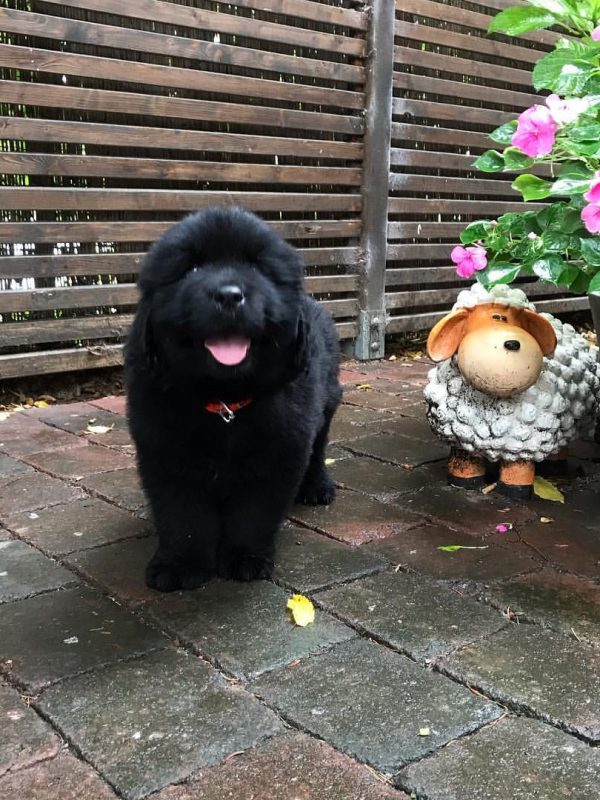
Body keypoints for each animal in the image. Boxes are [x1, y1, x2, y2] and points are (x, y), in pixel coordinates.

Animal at [126, 206, 342, 592]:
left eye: (259, 268)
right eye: (191, 268)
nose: (228, 295)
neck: (224, 402)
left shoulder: (280, 454)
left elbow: (253, 513)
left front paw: (245, 558)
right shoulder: (164, 454)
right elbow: (182, 517)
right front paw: (179, 565)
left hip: (326, 405)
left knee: (319, 450)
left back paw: (318, 486)